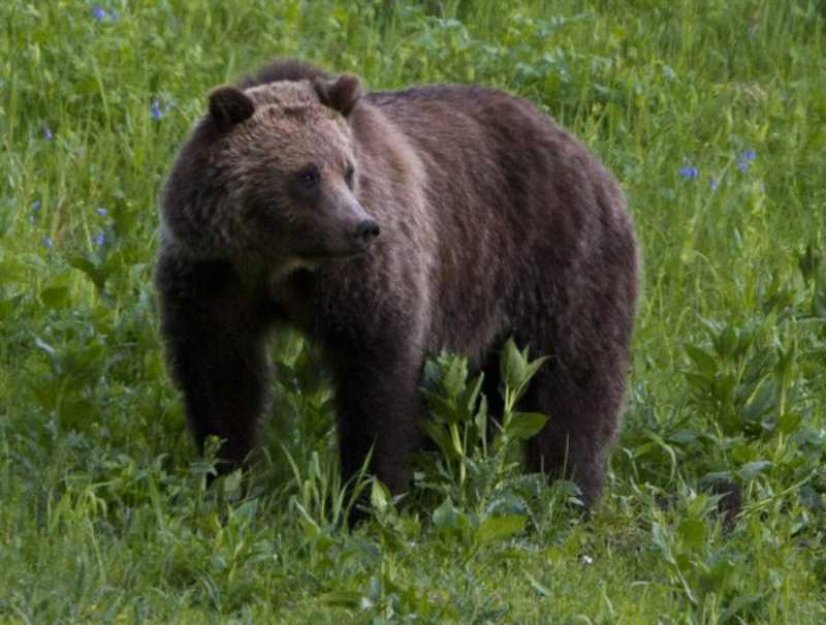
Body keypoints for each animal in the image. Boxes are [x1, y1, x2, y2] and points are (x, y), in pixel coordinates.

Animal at [156, 59, 640, 509]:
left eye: (348, 170)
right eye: (307, 175)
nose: (362, 227)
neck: (278, 265)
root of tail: (588, 155)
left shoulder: (364, 283)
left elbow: (378, 385)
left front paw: (369, 496)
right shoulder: (213, 279)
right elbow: (221, 378)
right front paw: (226, 477)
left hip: (561, 263)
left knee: (575, 387)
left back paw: (568, 494)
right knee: (480, 398)